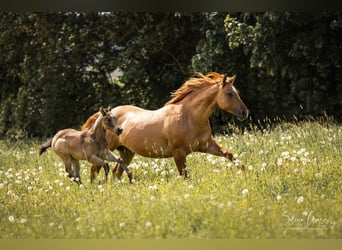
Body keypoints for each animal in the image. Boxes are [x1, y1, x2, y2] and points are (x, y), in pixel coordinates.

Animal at [82, 72, 248, 182]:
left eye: (237, 92)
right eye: (229, 94)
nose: (244, 112)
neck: (190, 117)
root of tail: (104, 115)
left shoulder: (207, 145)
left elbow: (230, 155)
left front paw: (247, 172)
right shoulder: (178, 152)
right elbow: (185, 176)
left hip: (127, 152)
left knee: (117, 172)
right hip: (106, 150)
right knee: (94, 169)